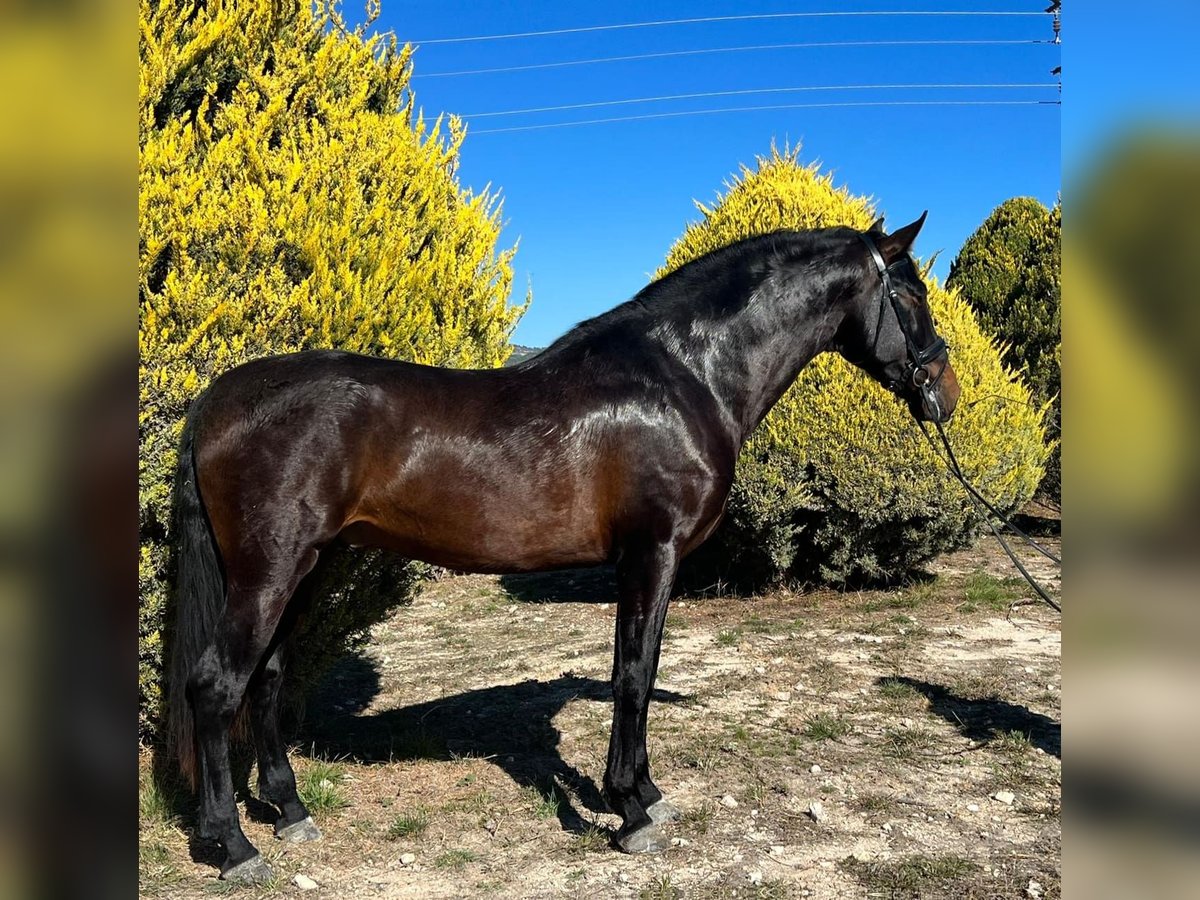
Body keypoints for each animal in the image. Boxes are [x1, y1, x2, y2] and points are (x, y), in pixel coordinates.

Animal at [169, 210, 960, 883]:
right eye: (913, 295)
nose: (946, 393)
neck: (684, 376)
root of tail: (217, 398)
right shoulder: (650, 554)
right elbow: (633, 674)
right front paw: (631, 809)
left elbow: (638, 669)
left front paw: (645, 792)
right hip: (270, 571)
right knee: (214, 685)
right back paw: (233, 846)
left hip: (306, 566)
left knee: (267, 677)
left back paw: (289, 811)